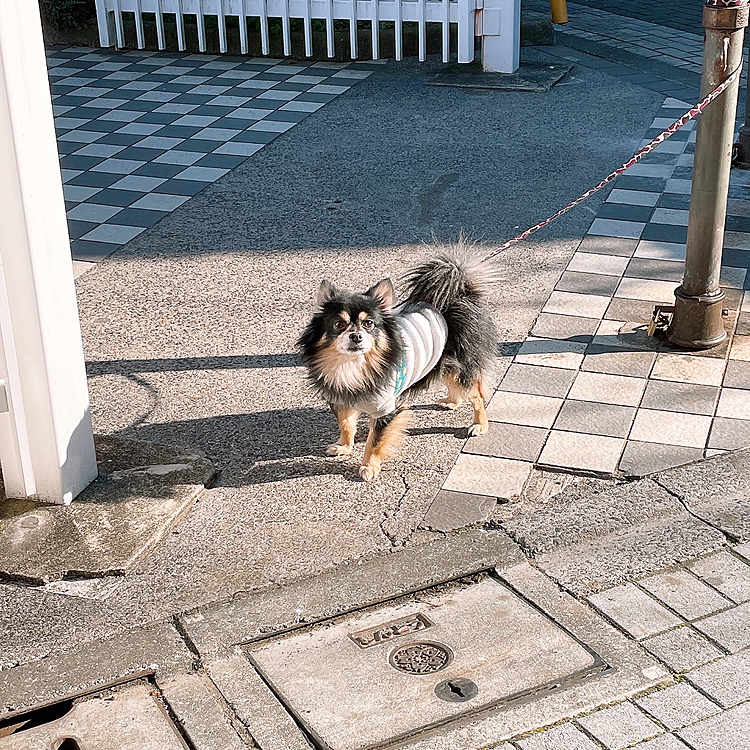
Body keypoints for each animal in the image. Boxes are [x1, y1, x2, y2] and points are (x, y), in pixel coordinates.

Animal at [296, 247, 500, 482]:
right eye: (339, 324)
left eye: (368, 324)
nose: (356, 336)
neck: (353, 366)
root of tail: (455, 297)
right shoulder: (341, 398)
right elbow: (346, 424)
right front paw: (344, 447)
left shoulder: (385, 409)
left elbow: (374, 441)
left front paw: (369, 466)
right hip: (443, 364)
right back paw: (452, 401)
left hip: (460, 368)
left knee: (477, 395)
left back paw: (479, 424)